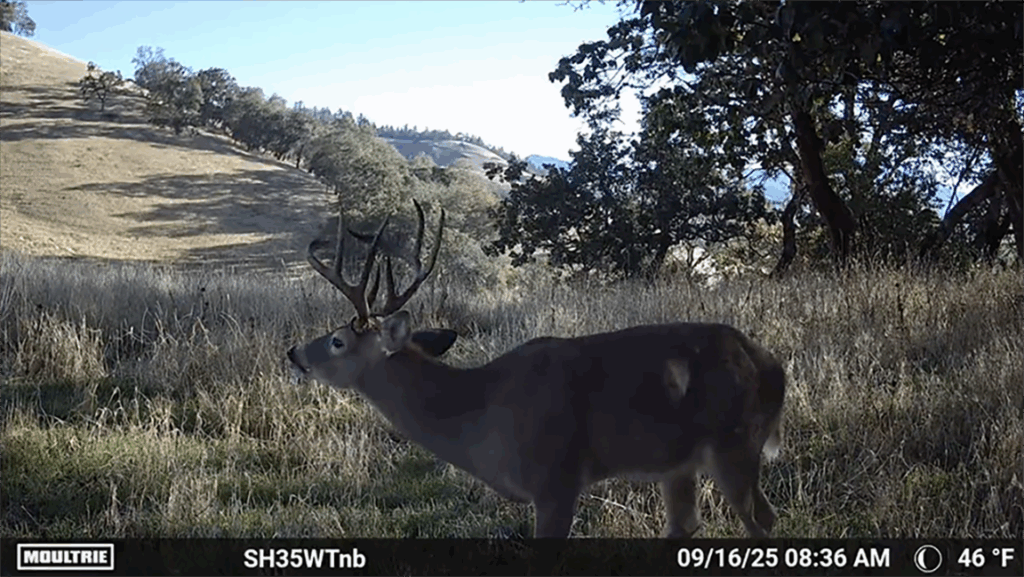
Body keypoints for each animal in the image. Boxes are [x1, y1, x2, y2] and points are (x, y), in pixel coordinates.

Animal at [287, 199, 787, 539]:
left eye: (338, 340)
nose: (295, 353)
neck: (477, 412)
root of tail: (771, 366)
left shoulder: (554, 481)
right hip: (678, 462)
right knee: (688, 525)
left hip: (734, 443)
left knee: (762, 520)